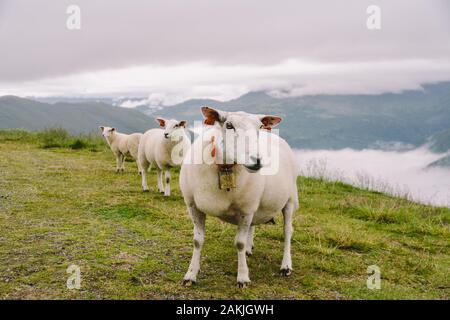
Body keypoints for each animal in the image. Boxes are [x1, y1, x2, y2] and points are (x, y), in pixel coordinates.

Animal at [179, 107, 298, 288]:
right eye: (229, 125)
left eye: (260, 127)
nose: (257, 160)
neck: (225, 167)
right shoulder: (193, 206)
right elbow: (197, 241)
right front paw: (191, 274)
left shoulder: (246, 210)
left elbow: (239, 244)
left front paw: (242, 277)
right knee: (253, 226)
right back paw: (249, 249)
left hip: (289, 200)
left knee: (287, 231)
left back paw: (286, 266)